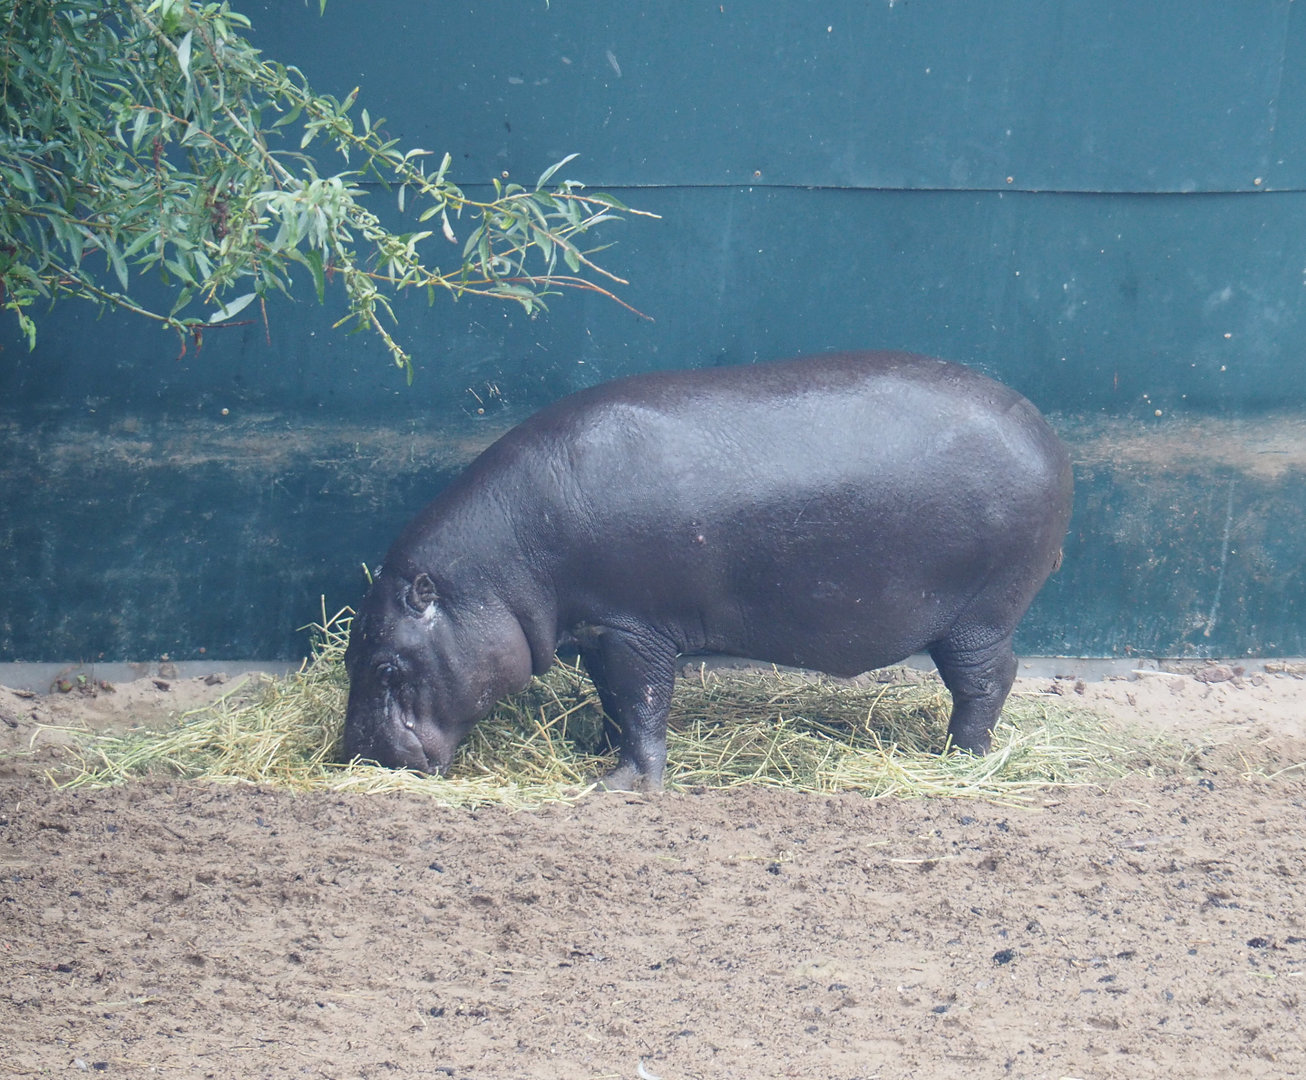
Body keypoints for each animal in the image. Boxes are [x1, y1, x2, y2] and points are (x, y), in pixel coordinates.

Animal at [342, 351, 1073, 790]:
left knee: (988, 679)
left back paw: (957, 758)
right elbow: (615, 702)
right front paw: (595, 750)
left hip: (980, 615)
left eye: (388, 667)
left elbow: (643, 703)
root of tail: (1046, 433)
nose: (356, 753)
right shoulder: (600, 630)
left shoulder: (633, 630)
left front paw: (619, 783)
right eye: (350, 653)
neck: (496, 571)